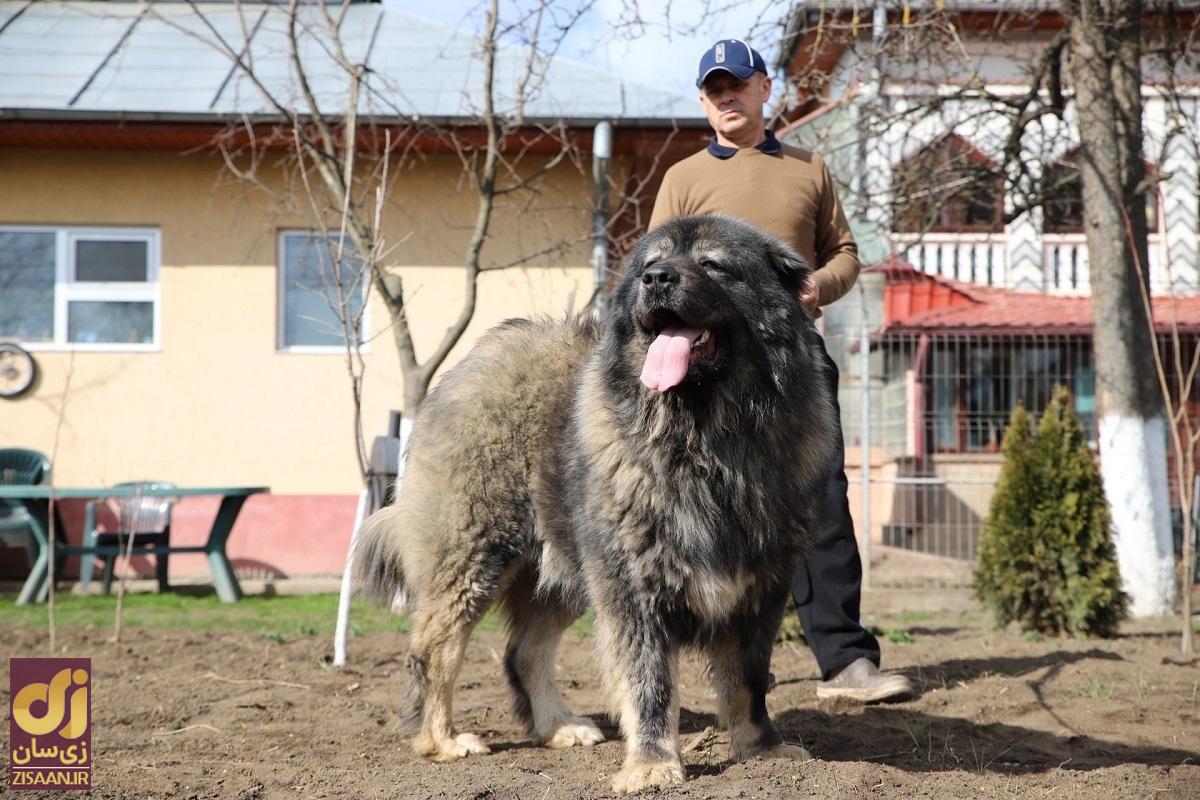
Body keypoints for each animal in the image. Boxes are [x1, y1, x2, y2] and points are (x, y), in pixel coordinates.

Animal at [357, 214, 835, 796]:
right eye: (652, 261)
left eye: (712, 263)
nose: (657, 278)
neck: (706, 441)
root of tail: (475, 359)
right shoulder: (634, 585)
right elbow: (650, 682)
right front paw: (652, 764)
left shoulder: (760, 586)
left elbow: (749, 677)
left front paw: (762, 748)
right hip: (474, 556)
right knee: (436, 648)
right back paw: (443, 740)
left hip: (563, 567)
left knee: (524, 653)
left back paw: (558, 727)